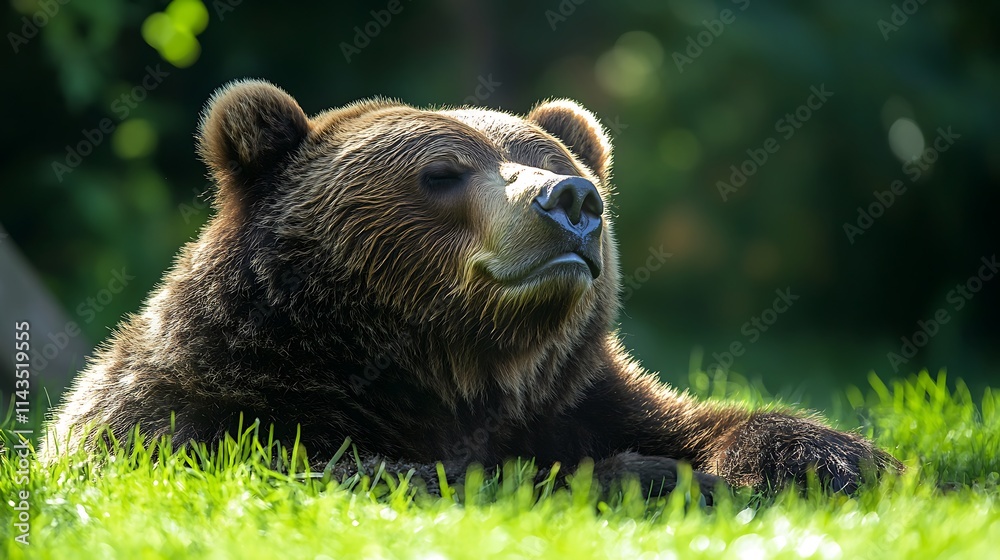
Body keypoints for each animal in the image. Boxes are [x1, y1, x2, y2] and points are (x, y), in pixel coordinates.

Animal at [40, 79, 901, 497]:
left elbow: (722, 423)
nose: (573, 201)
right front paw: (636, 477)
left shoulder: (576, 396)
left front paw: (835, 463)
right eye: (442, 173)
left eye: (555, 159)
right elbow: (368, 474)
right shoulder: (204, 418)